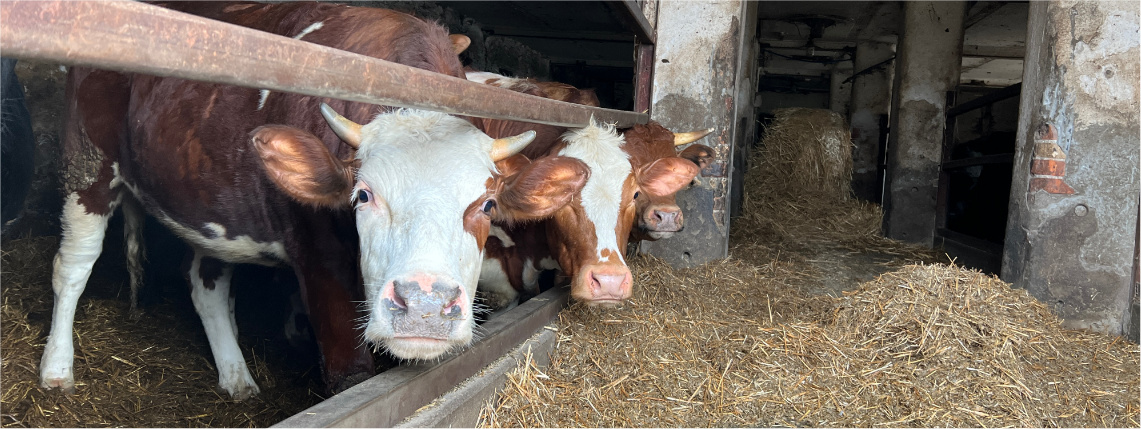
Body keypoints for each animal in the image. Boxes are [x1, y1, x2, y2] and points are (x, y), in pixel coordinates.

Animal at [35, 1, 588, 401]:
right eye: (362, 195)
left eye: (488, 204)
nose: (426, 306)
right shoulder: (320, 260)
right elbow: (350, 375)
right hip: (87, 166)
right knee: (73, 266)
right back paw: (57, 369)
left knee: (206, 285)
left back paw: (237, 378)